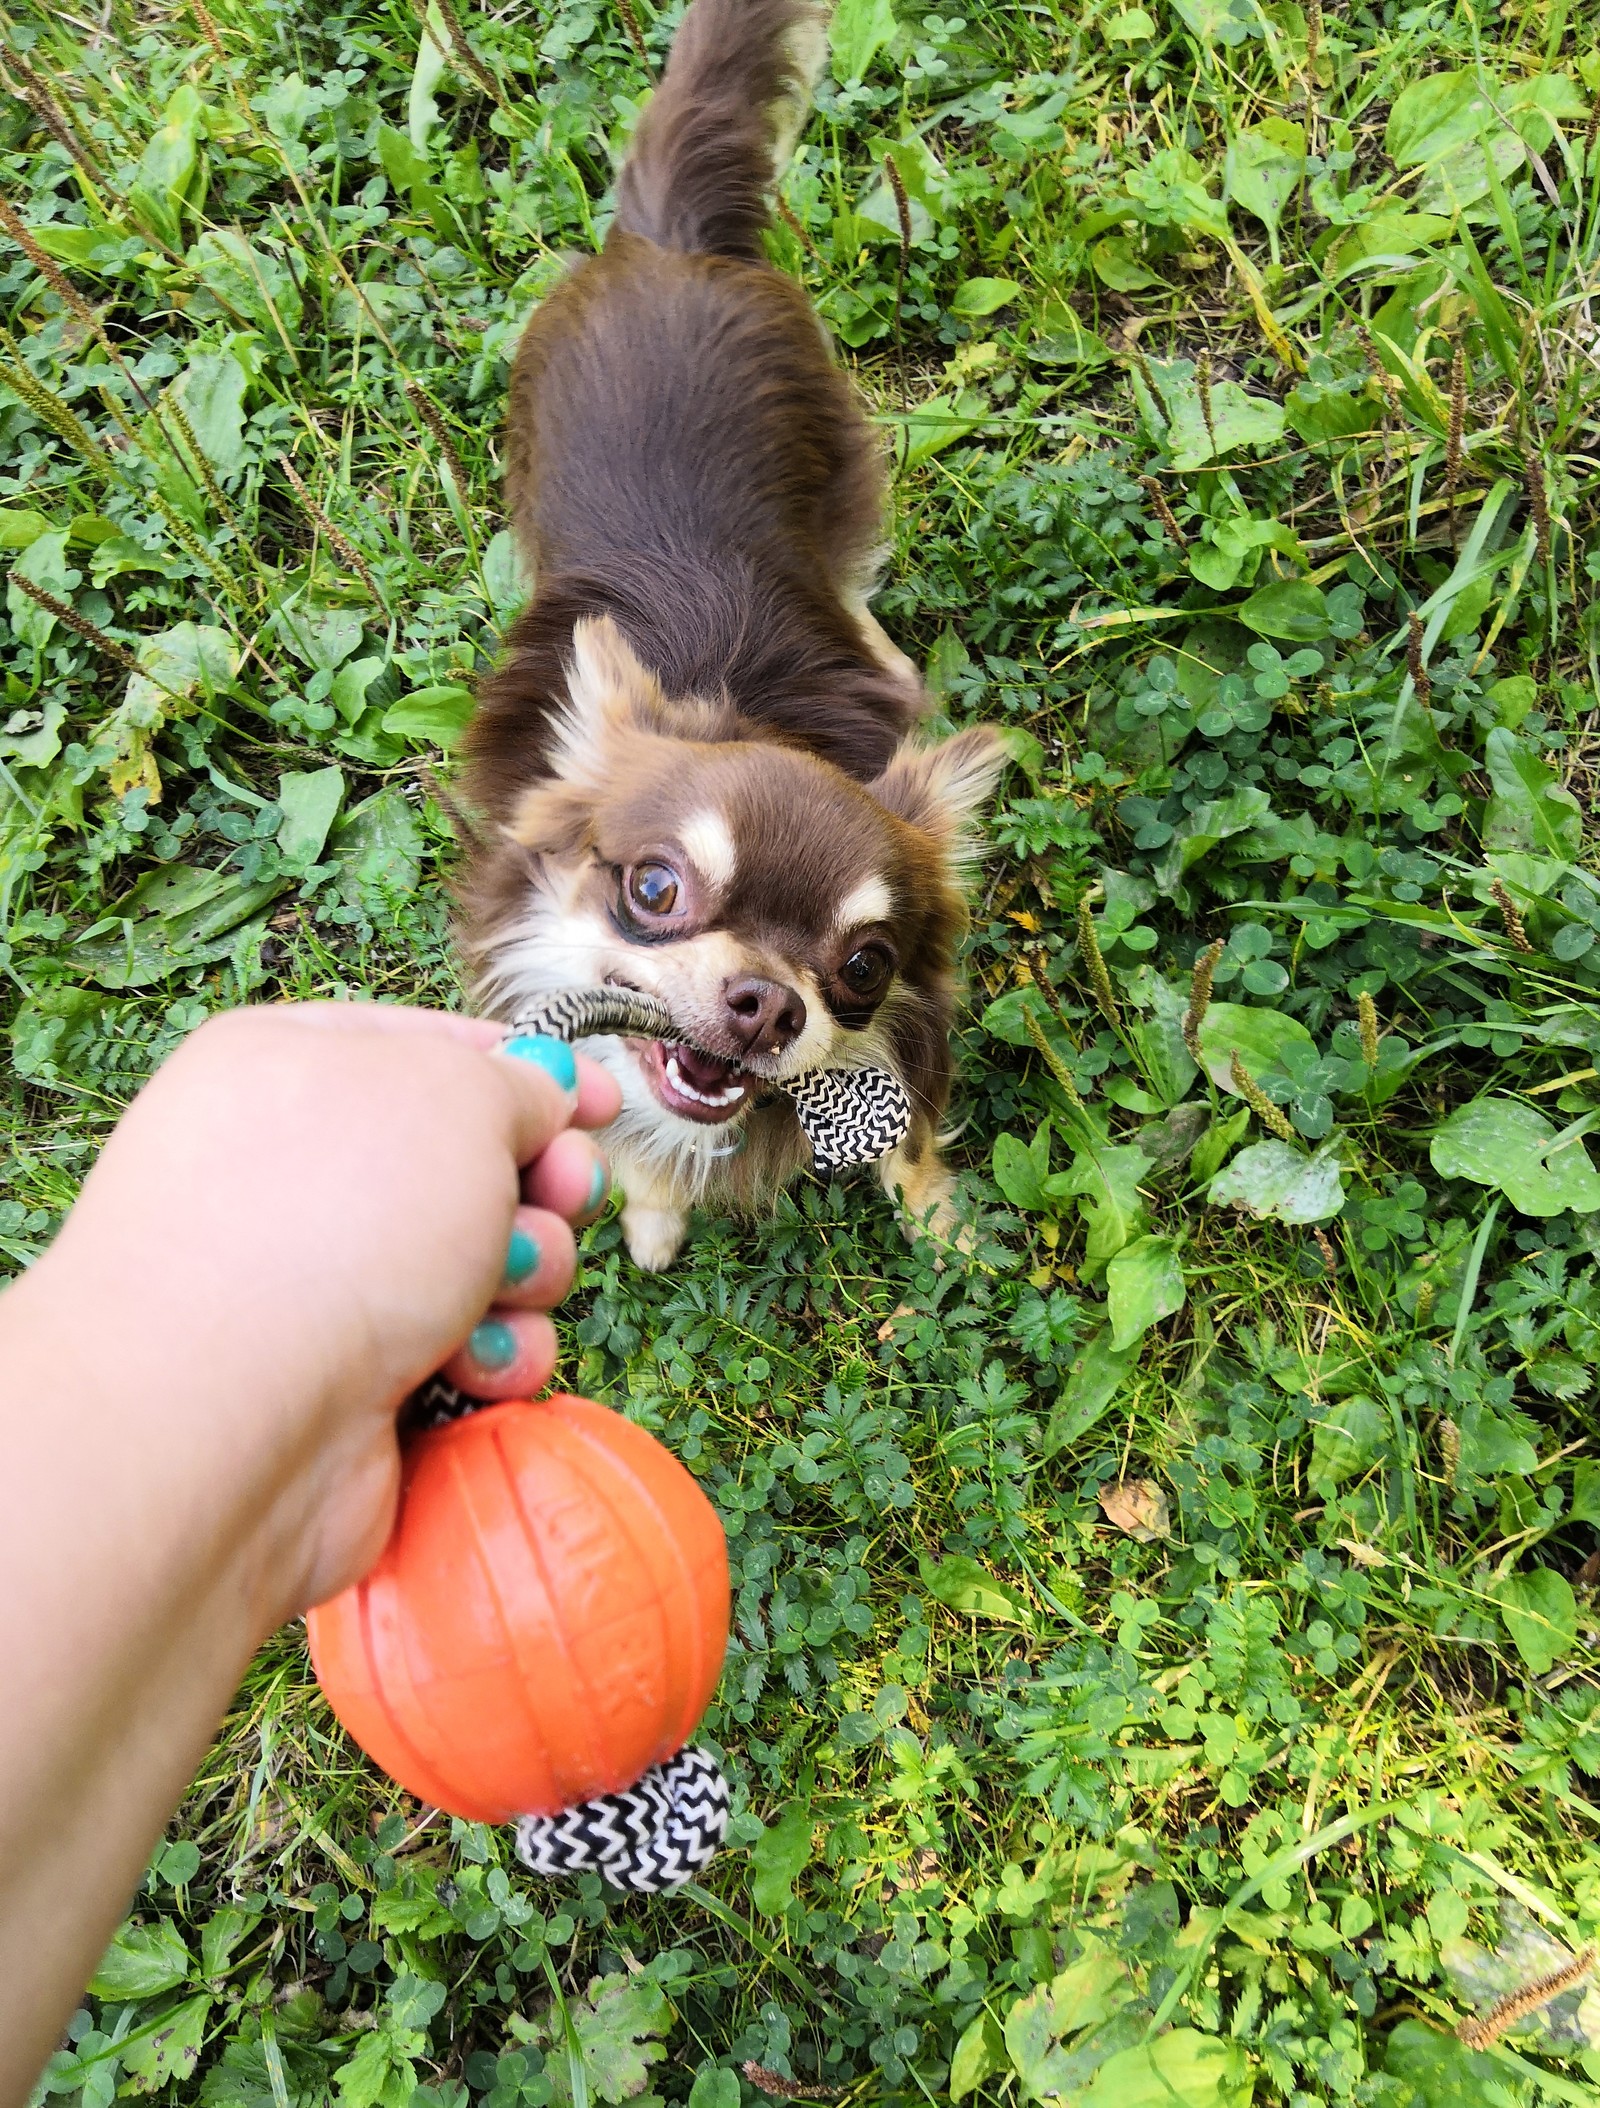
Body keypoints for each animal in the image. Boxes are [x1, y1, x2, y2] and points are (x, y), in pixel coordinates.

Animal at [457, 0, 994, 1264]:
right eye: (655, 889)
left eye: (865, 965)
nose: (766, 999)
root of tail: (659, 241)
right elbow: (621, 1126)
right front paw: (653, 1217)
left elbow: (911, 1134)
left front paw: (939, 1222)